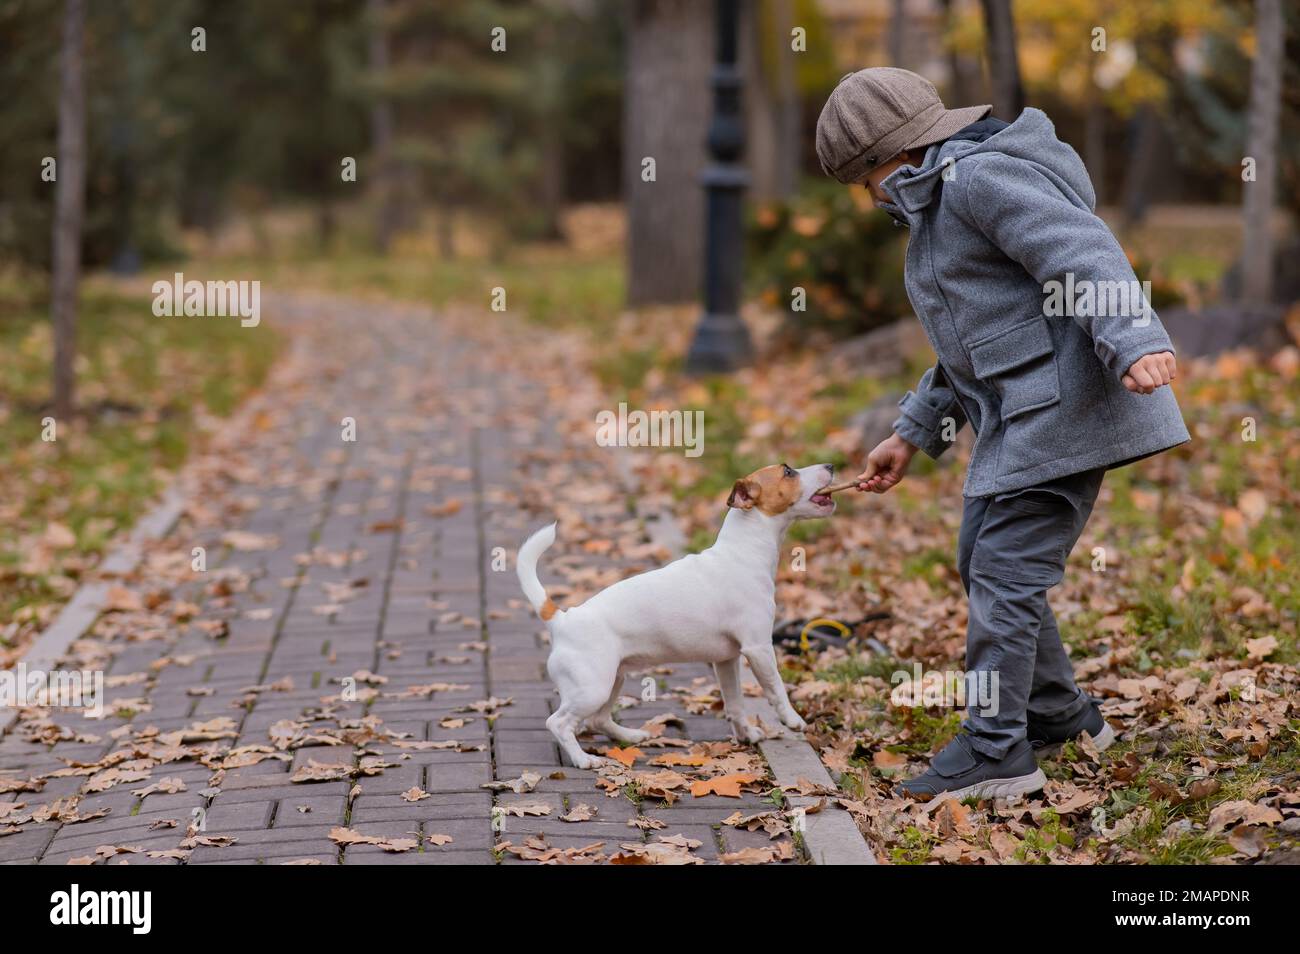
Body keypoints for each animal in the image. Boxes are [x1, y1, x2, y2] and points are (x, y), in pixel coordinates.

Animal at [514, 462, 832, 769]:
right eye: (788, 472)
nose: (830, 466)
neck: (742, 552)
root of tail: (561, 619)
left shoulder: (726, 661)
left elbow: (735, 703)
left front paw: (746, 735)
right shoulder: (759, 649)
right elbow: (776, 687)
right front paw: (792, 719)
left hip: (613, 679)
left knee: (597, 719)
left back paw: (631, 736)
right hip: (593, 688)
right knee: (558, 722)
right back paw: (583, 759)